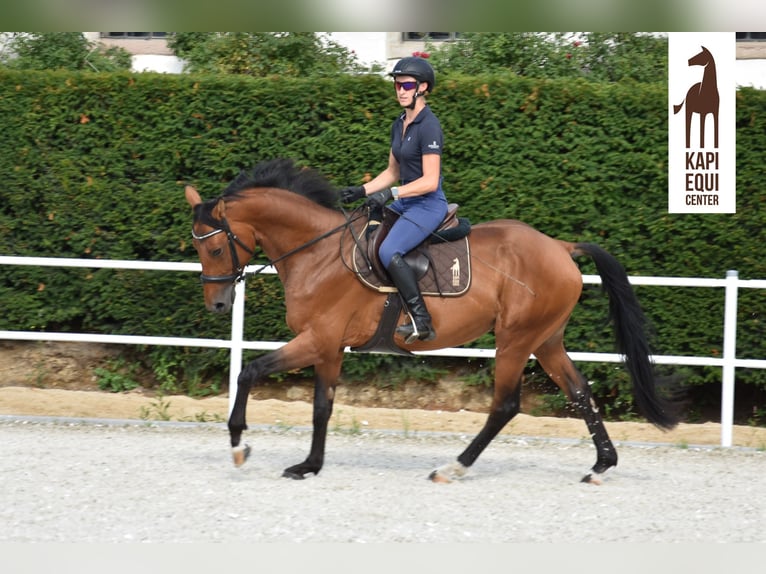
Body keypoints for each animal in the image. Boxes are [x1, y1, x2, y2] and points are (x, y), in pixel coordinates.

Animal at [184, 158, 680, 486]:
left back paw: (453, 467)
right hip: (546, 339)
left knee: (505, 405)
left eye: (215, 247)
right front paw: (310, 465)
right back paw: (601, 465)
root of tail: (559, 246)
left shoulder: (316, 339)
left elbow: (249, 372)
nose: (218, 305)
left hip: (515, 340)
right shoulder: (329, 347)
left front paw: (239, 446)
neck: (318, 251)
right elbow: (322, 406)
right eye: (198, 247)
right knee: (579, 392)